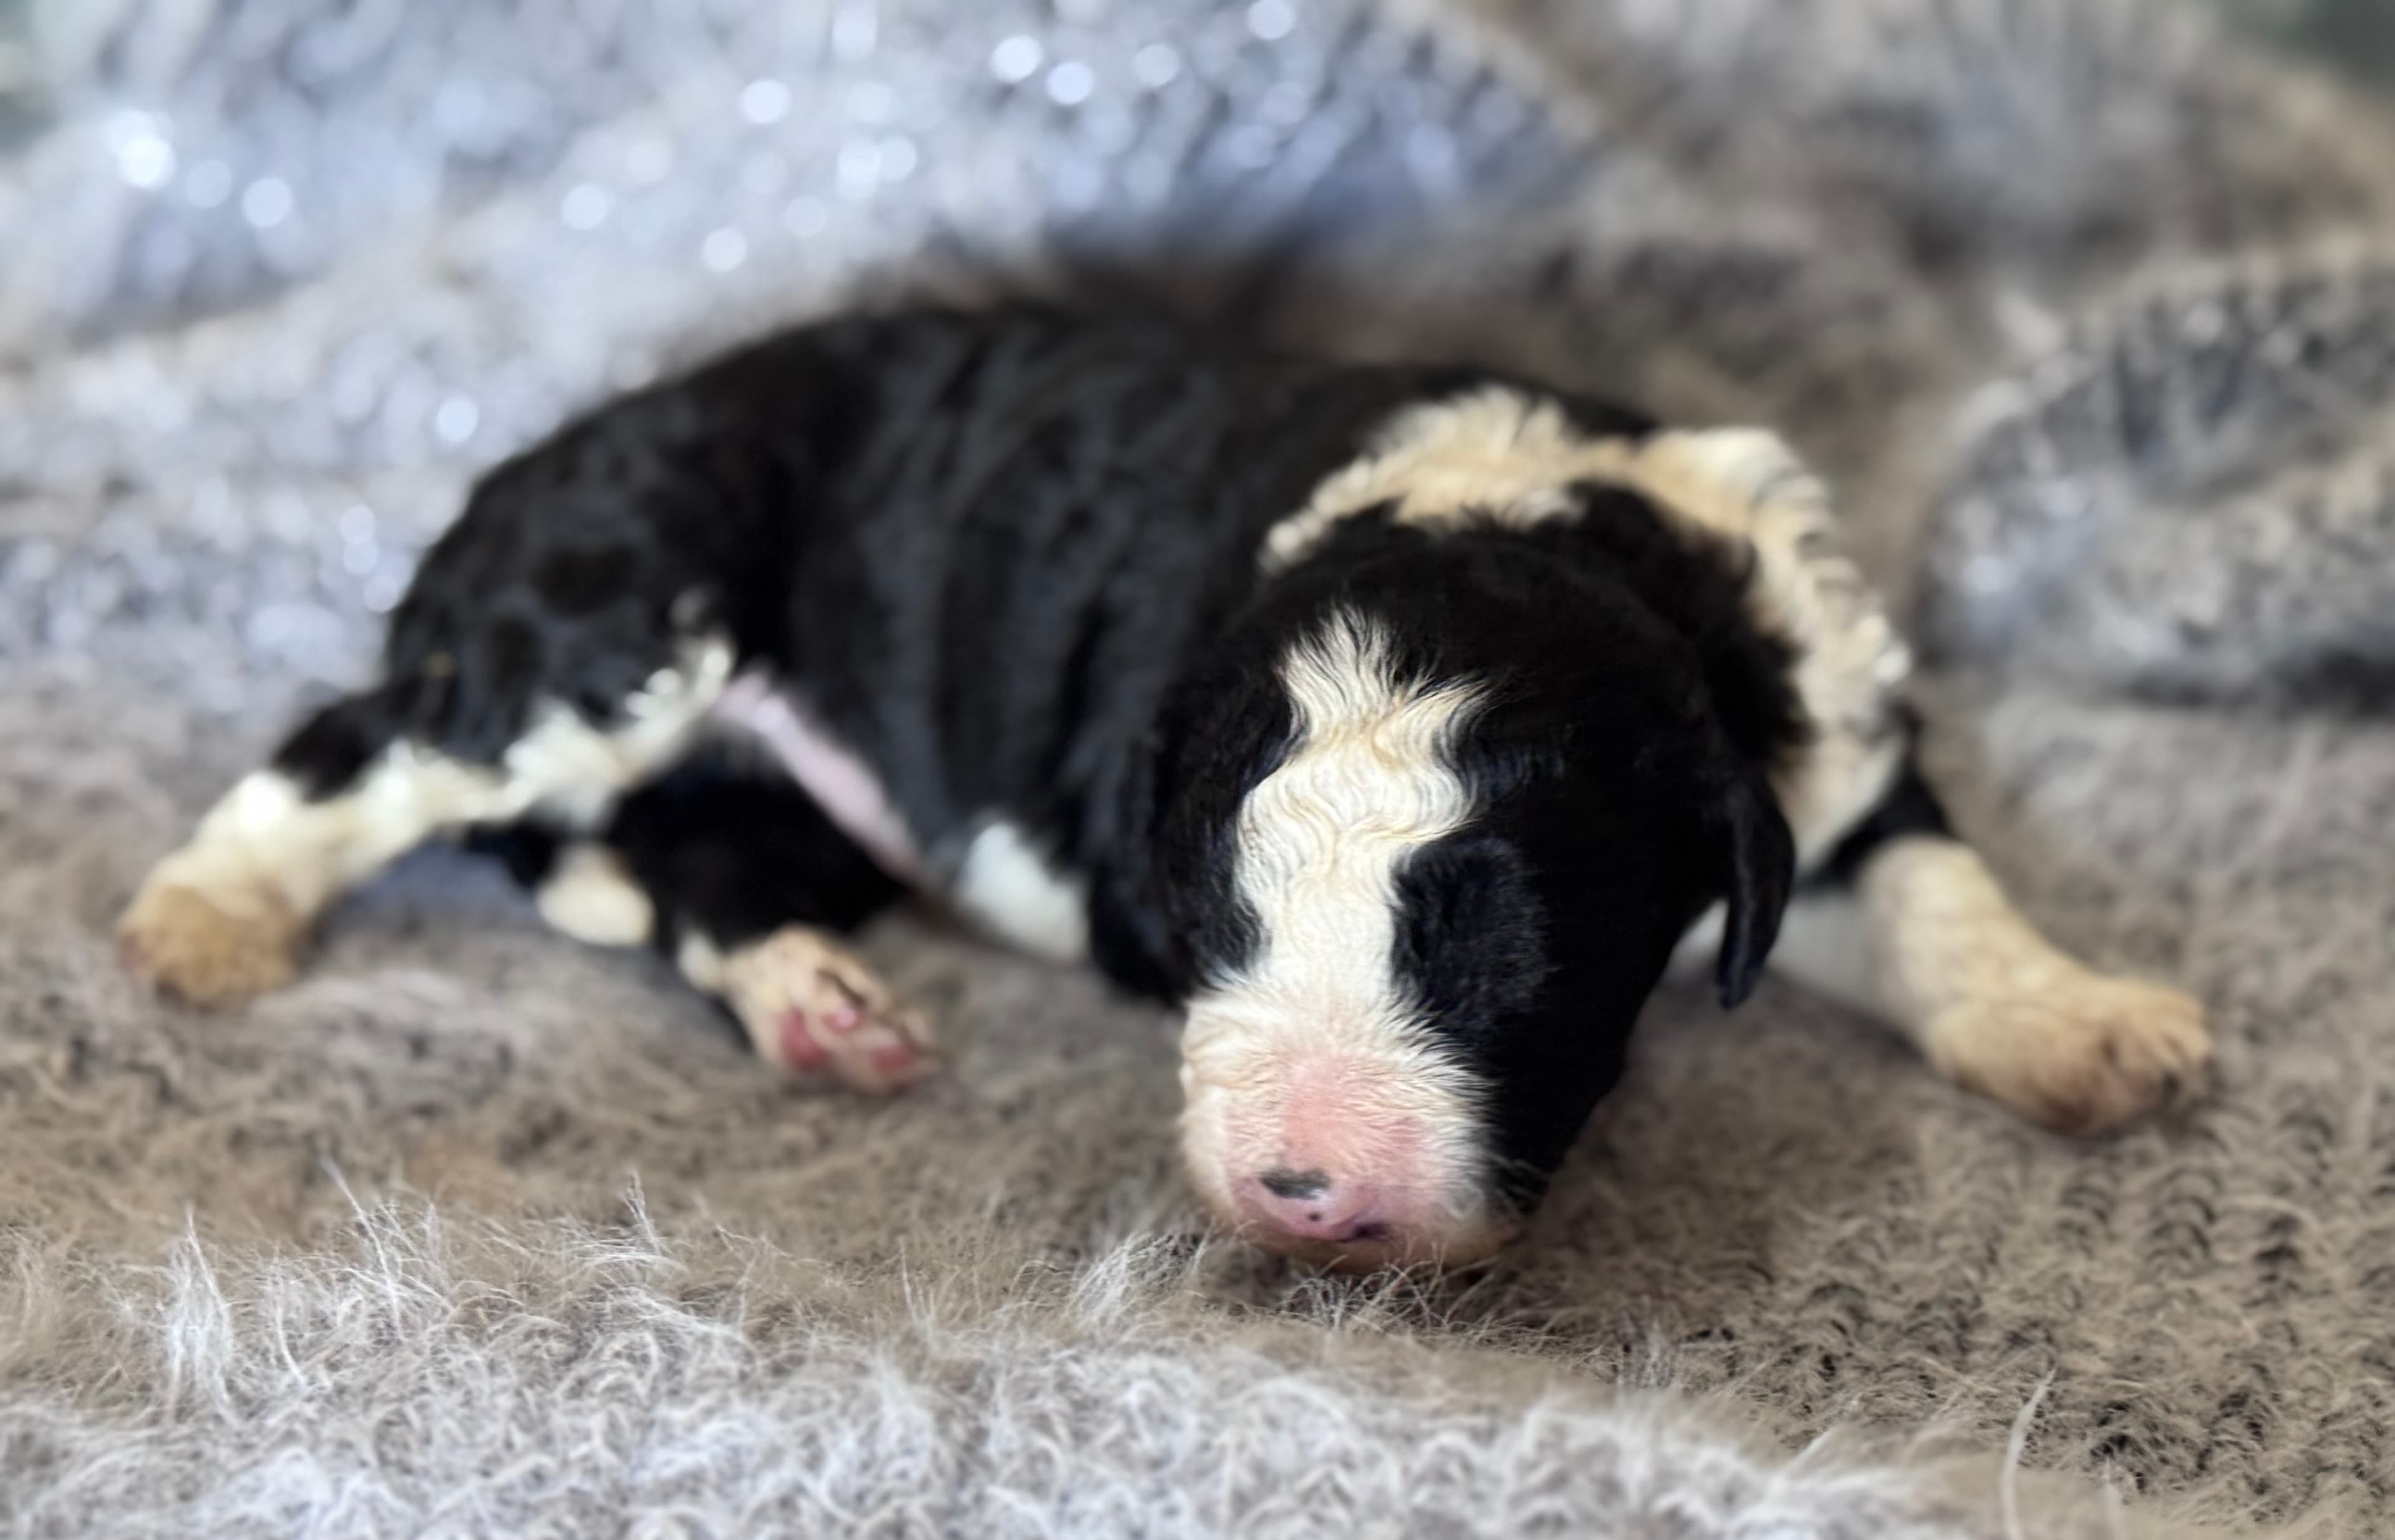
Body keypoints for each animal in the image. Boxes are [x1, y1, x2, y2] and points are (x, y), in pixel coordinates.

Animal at [112, 301, 2203, 1264]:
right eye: (1209, 915)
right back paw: (208, 917)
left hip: (792, 790)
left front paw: (2083, 1028)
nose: (1301, 1194)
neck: (1533, 528)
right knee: (371, 738)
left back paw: (819, 1005)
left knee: (700, 861)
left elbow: (1939, 893)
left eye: (1508, 953)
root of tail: (534, 459)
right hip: (619, 604)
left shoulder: (1816, 745)